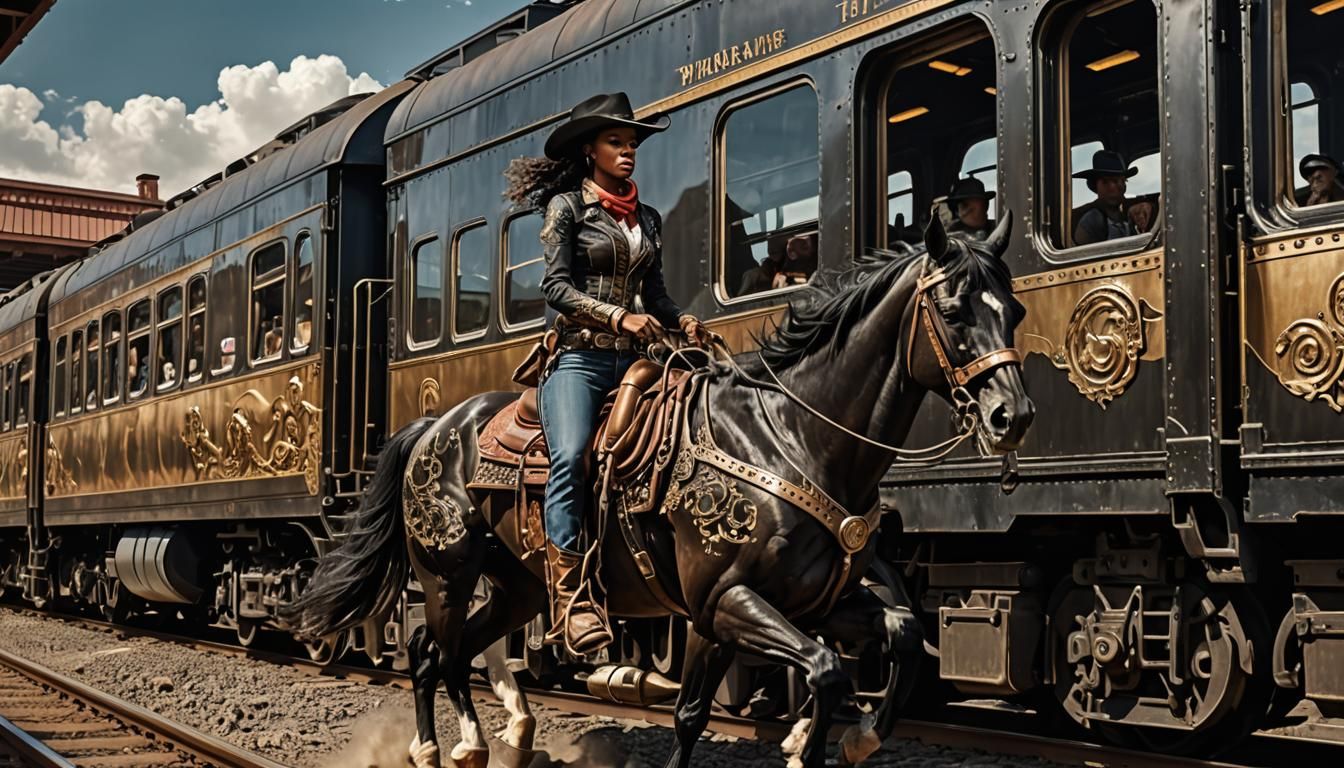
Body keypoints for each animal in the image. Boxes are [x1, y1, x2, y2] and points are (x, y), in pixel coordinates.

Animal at [288, 213, 1032, 763]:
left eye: (1016, 311)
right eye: (954, 310)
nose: (1013, 414)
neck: (793, 438)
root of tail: (432, 427)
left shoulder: (801, 603)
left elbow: (892, 640)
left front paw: (852, 738)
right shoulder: (723, 600)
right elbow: (784, 683)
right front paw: (811, 741)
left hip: (515, 583)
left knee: (449, 651)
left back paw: (490, 739)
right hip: (446, 570)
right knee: (431, 651)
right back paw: (458, 745)